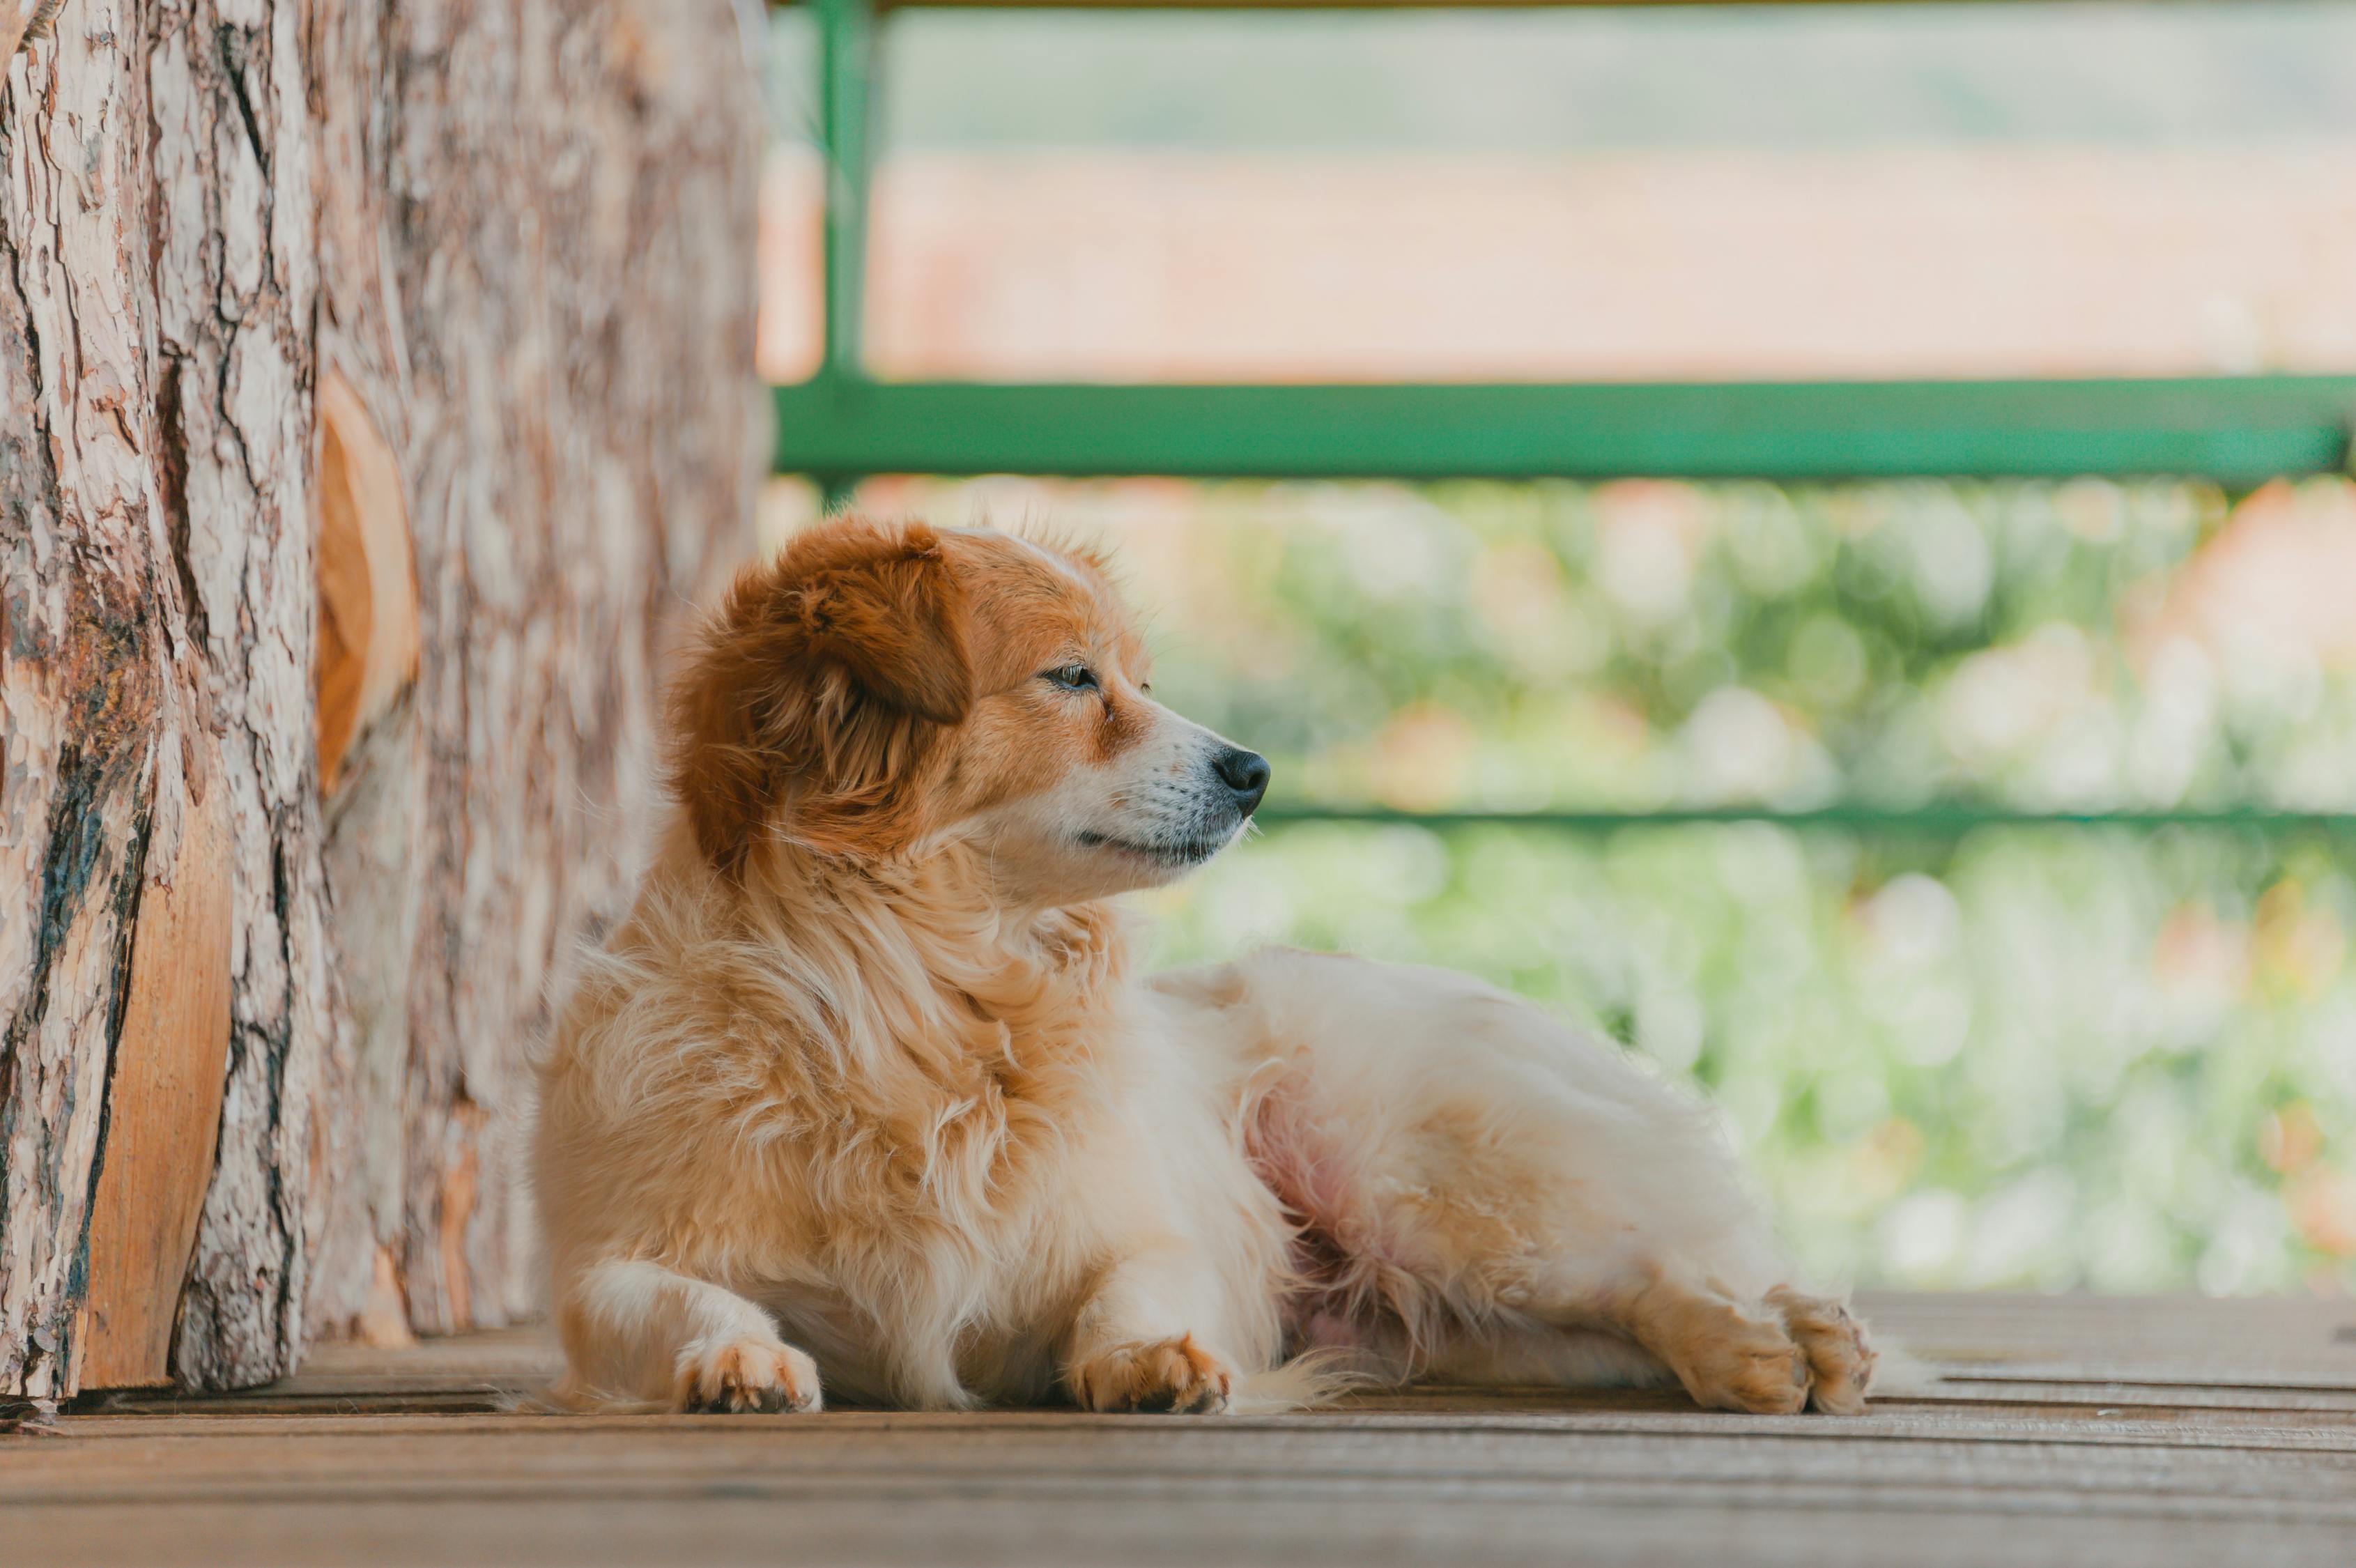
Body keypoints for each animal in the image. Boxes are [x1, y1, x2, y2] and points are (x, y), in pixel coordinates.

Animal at [534, 516, 1875, 1415]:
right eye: (1072, 677)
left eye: (1140, 678)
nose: (1256, 770)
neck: (922, 989)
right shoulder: (607, 1270)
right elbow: (667, 1302)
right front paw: (735, 1356)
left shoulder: (1144, 1232)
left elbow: (1134, 1288)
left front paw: (1144, 1361)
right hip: (1462, 1316)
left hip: (1433, 1199)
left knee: (1645, 1264)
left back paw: (1772, 1342)